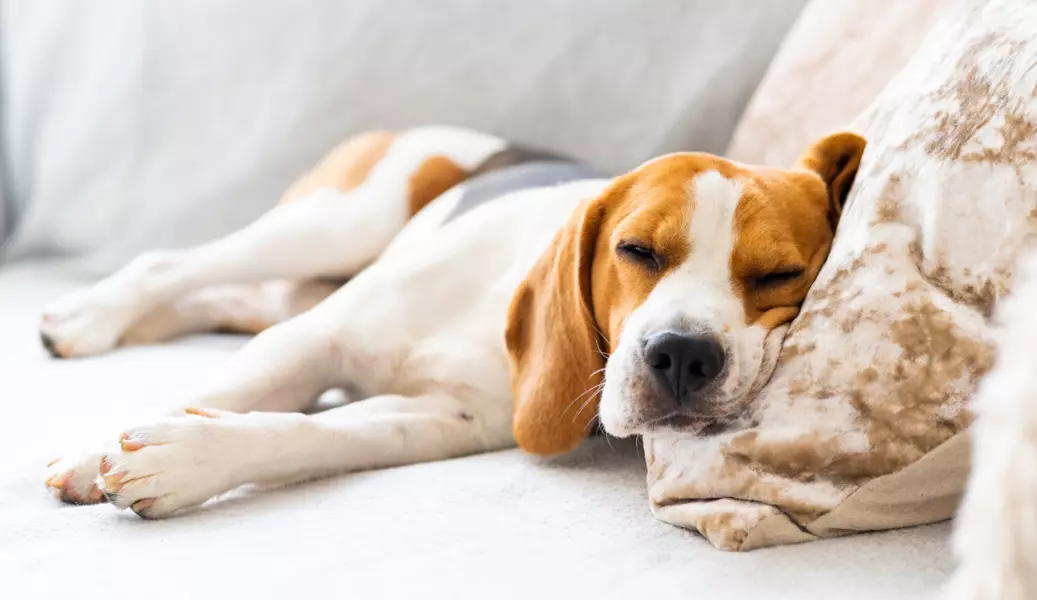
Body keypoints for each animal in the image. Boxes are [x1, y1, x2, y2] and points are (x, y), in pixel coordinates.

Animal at [38, 125, 866, 516]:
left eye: (779, 276)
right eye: (636, 250)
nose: (683, 357)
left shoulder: (446, 419)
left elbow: (314, 432)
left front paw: (186, 458)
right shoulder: (311, 341)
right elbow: (221, 394)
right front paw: (93, 452)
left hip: (301, 278)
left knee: (216, 298)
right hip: (338, 223)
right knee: (169, 266)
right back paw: (86, 318)